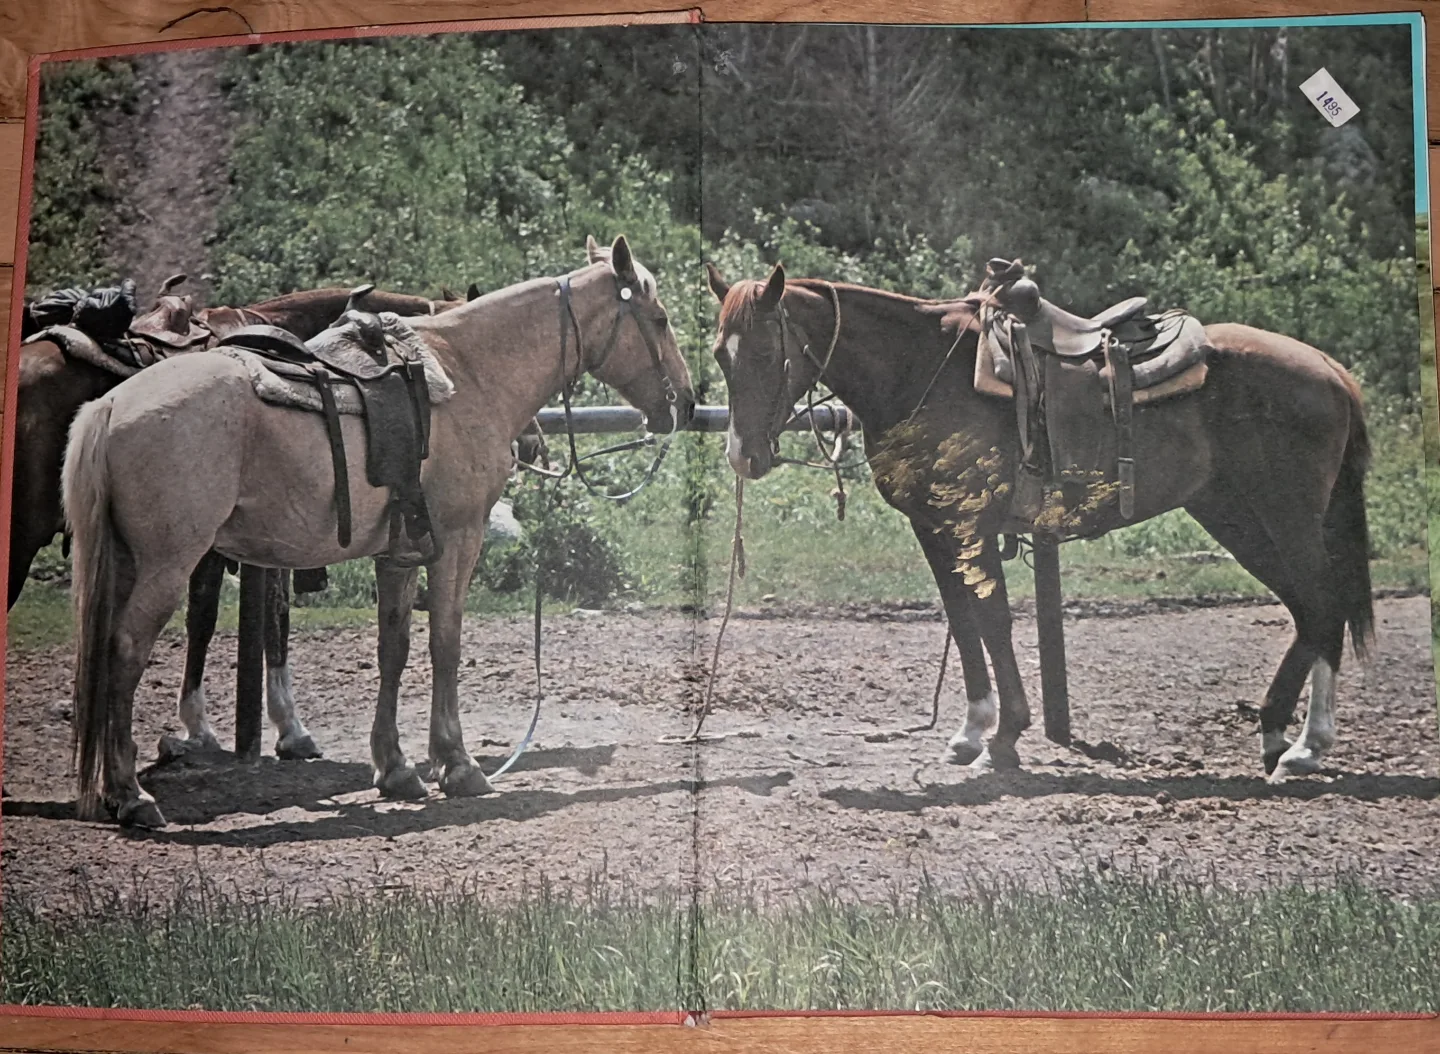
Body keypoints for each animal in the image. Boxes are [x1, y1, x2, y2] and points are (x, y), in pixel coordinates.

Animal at [63, 235, 695, 828]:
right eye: (661, 320)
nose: (685, 404)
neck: (471, 371)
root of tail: (110, 407)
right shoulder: (456, 543)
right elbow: (445, 644)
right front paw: (457, 764)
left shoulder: (399, 554)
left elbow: (394, 650)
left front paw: (396, 769)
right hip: (167, 564)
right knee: (124, 652)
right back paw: (131, 796)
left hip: (126, 562)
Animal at [705, 263, 1373, 783]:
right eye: (719, 354)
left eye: (764, 351)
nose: (744, 455)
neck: (918, 368)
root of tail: (1328, 368)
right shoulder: (934, 528)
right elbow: (963, 621)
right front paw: (972, 732)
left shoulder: (970, 524)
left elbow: (993, 622)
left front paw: (1003, 740)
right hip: (1233, 515)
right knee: (1308, 610)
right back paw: (1280, 735)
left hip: (1283, 515)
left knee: (1322, 603)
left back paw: (1305, 746)